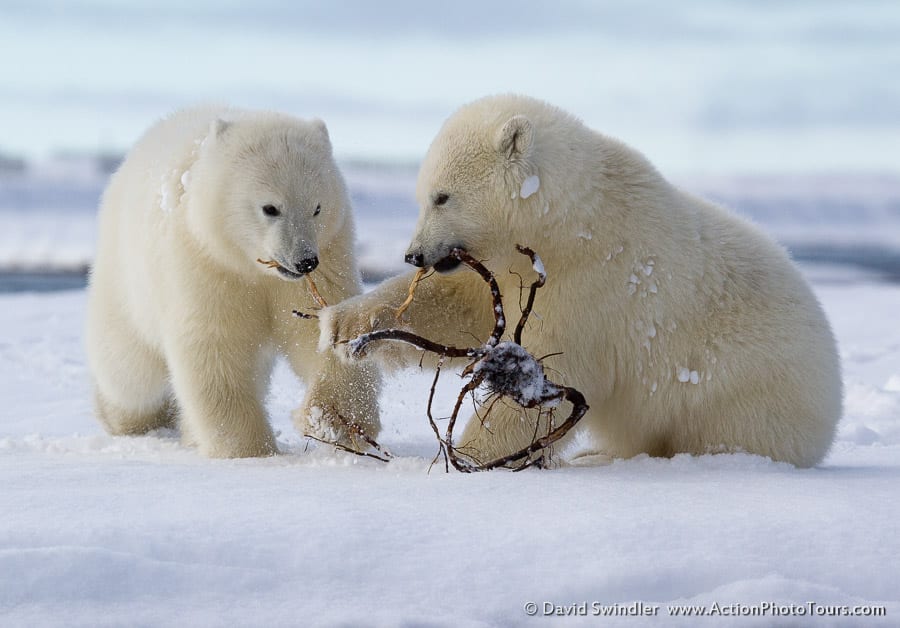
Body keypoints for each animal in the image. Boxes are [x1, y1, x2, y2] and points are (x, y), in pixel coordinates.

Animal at [85, 108, 380, 458]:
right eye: (270, 208)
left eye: (317, 208)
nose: (304, 260)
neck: (251, 266)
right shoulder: (206, 263)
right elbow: (215, 348)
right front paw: (250, 451)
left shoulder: (328, 256)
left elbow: (321, 332)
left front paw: (334, 422)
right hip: (128, 283)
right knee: (130, 370)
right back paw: (127, 419)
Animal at [324, 92, 844, 466]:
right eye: (422, 196)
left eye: (442, 196)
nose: (414, 254)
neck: (569, 223)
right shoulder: (506, 269)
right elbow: (456, 306)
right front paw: (343, 328)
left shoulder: (593, 286)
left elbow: (554, 370)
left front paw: (472, 455)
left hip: (745, 393)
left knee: (717, 434)